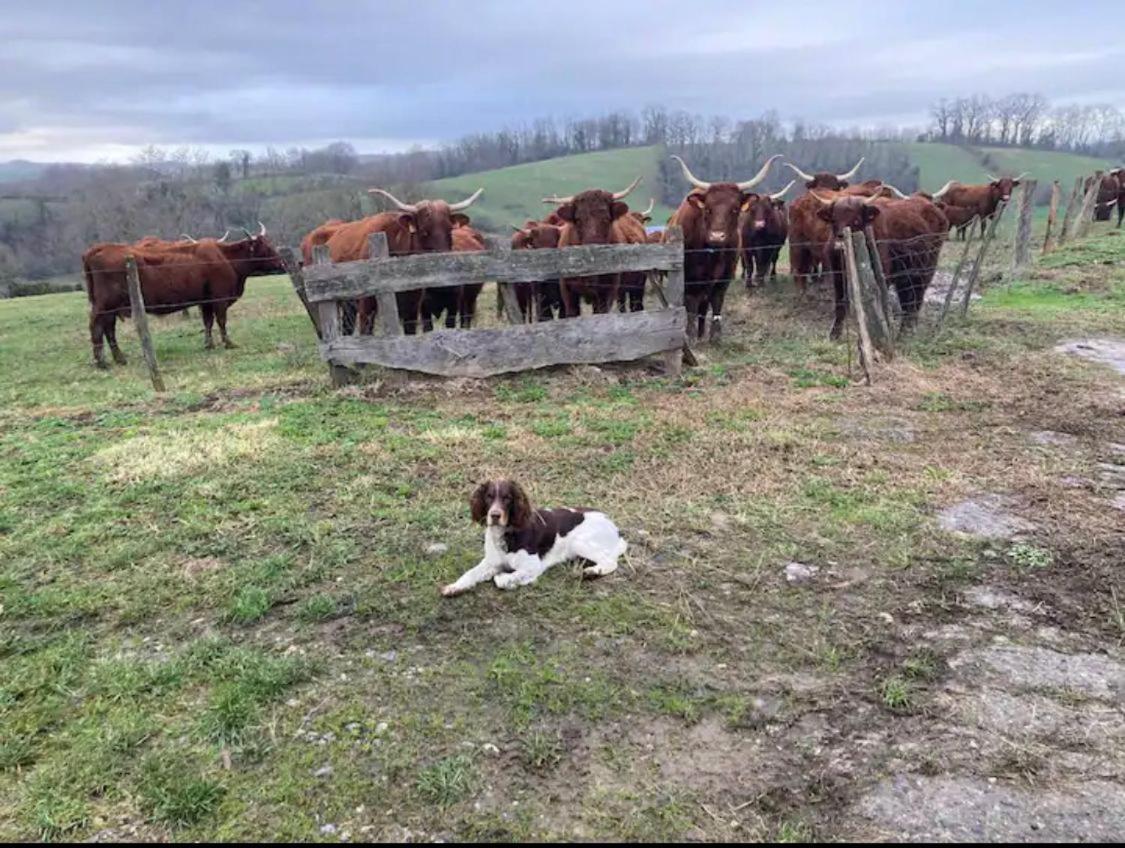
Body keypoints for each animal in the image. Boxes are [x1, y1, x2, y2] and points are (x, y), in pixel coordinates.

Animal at [82, 222, 283, 364]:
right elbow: (221, 321)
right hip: (105, 304)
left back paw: (117, 359)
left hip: (111, 307)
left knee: (107, 329)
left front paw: (209, 344)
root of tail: (98, 248)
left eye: (271, 243)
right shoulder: (219, 299)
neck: (225, 257)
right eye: (265, 247)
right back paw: (102, 361)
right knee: (98, 327)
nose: (282, 263)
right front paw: (229, 343)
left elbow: (208, 322)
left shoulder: (205, 301)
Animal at [443, 476, 630, 593]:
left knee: (610, 562)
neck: (506, 534)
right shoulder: (491, 561)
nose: (495, 515)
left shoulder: (533, 565)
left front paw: (514, 581)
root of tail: (616, 531)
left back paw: (592, 572)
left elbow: (501, 579)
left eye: (507, 498)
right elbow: (470, 573)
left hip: (579, 541)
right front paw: (454, 586)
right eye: (489, 496)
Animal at [542, 176, 648, 314]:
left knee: (636, 305)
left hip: (638, 285)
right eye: (578, 220)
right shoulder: (568, 292)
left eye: (606, 219)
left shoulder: (607, 291)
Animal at [661, 154, 778, 339]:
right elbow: (690, 306)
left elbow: (717, 303)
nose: (717, 236)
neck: (712, 255)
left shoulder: (724, 278)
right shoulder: (690, 280)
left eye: (735, 209)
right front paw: (690, 335)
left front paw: (714, 335)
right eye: (708, 209)